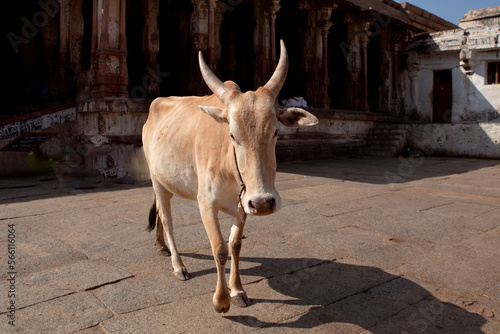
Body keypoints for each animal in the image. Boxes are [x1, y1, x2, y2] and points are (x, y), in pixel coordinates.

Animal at [143, 39, 318, 314]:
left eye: (276, 132)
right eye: (232, 135)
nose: (263, 203)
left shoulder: (243, 204)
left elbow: (235, 245)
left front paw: (238, 291)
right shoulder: (206, 204)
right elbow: (219, 249)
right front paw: (222, 300)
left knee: (160, 213)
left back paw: (161, 246)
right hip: (156, 178)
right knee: (168, 219)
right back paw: (178, 265)